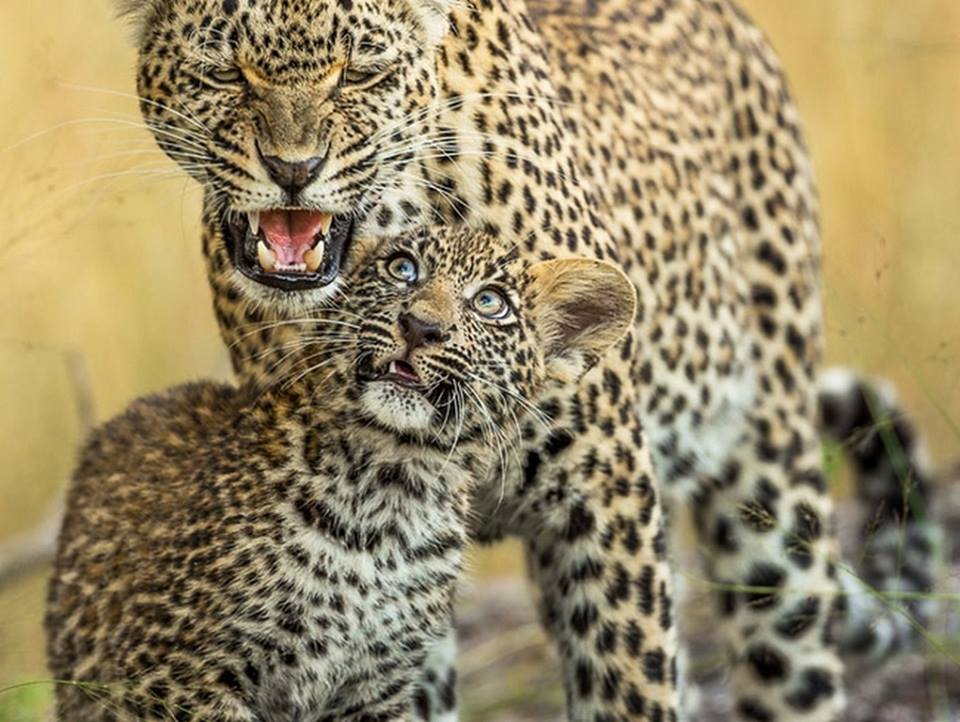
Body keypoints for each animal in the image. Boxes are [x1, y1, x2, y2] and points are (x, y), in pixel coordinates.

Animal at [45, 224, 638, 721]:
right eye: (403, 269)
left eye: (490, 303)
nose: (421, 326)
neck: (391, 493)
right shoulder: (175, 672)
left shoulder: (374, 690)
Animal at [114, 0, 939, 720]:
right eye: (225, 71)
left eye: (361, 72)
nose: (294, 169)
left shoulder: (605, 491)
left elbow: (627, 682)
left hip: (771, 477)